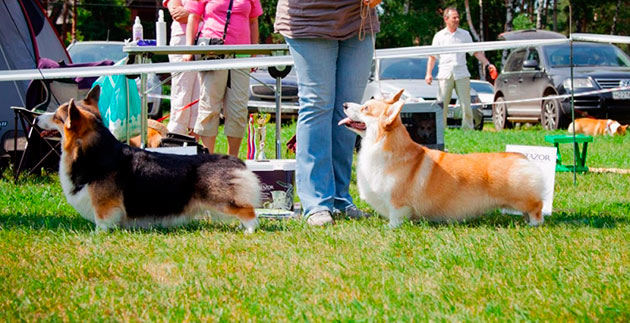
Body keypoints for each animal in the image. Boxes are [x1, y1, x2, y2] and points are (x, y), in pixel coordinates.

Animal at [34, 86, 262, 233]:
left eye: (56, 117)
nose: (36, 118)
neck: (94, 150)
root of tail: (236, 162)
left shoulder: (104, 205)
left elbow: (102, 222)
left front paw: (96, 235)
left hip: (224, 201)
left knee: (250, 213)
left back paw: (248, 231)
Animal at [340, 90, 548, 229]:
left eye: (366, 108)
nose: (344, 105)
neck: (382, 144)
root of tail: (520, 156)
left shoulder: (398, 203)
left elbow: (396, 218)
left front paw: (389, 228)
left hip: (523, 198)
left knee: (537, 208)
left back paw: (534, 224)